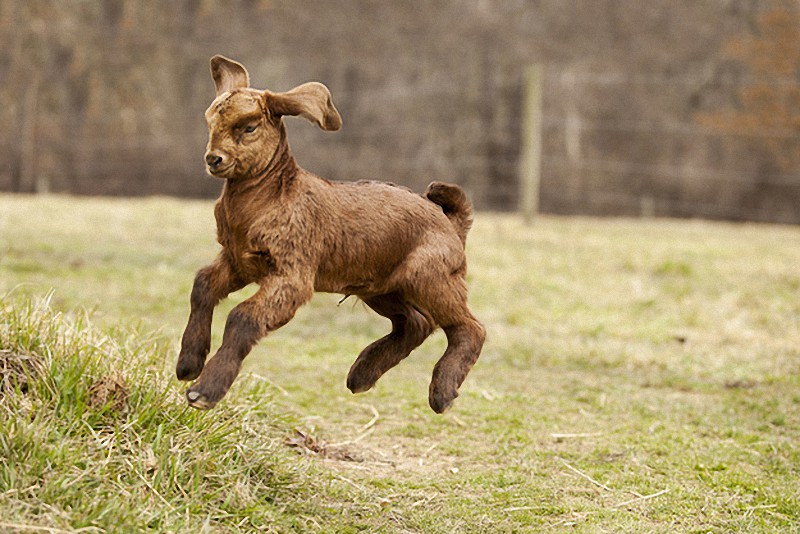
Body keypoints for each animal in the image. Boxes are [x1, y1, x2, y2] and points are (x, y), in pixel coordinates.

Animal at [177, 55, 488, 414]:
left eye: (249, 127)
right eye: (210, 123)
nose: (214, 159)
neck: (272, 197)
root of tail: (452, 223)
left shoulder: (292, 273)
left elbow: (243, 317)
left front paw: (203, 392)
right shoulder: (238, 261)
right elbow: (203, 284)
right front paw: (187, 365)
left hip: (432, 277)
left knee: (469, 327)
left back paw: (441, 394)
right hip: (382, 286)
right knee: (415, 323)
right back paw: (362, 375)